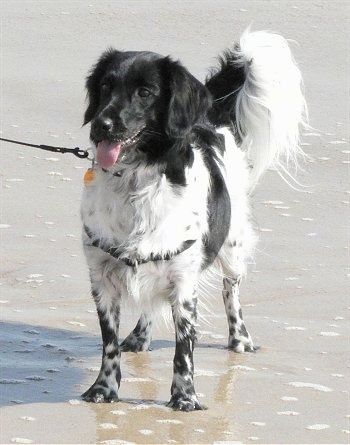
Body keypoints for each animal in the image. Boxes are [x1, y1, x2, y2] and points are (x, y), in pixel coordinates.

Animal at [80, 30, 306, 410]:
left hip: (232, 247)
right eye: (106, 86)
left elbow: (183, 348)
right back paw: (139, 337)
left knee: (232, 292)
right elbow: (109, 343)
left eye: (145, 92)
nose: (101, 125)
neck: (137, 182)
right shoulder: (102, 277)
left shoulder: (185, 281)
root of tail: (210, 119)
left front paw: (184, 398)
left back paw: (240, 340)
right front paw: (103, 389)